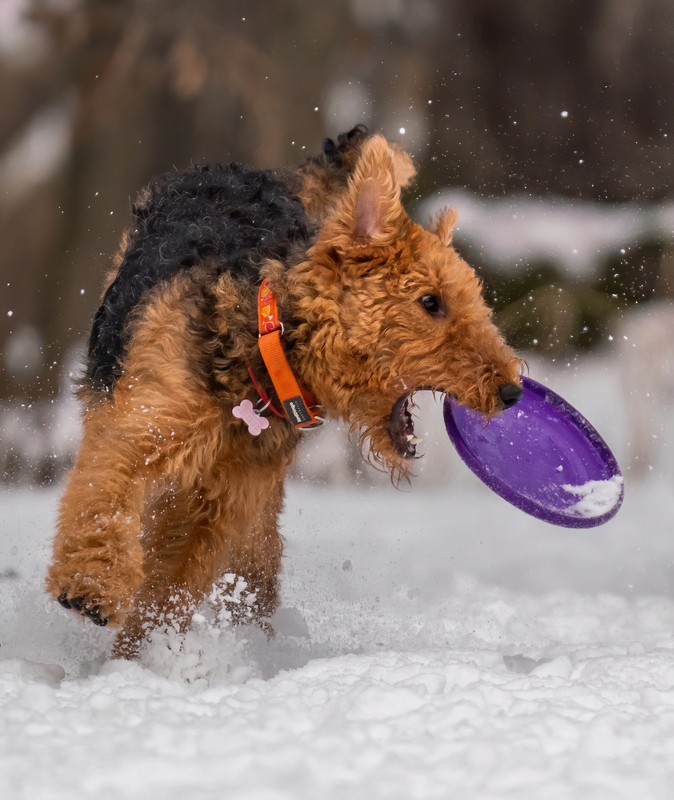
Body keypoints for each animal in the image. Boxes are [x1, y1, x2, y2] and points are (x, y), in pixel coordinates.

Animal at [46, 125, 520, 656]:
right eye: (431, 302)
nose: (511, 391)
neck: (261, 347)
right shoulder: (140, 431)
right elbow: (104, 501)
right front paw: (91, 590)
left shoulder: (216, 504)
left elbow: (166, 587)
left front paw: (138, 656)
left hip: (257, 515)